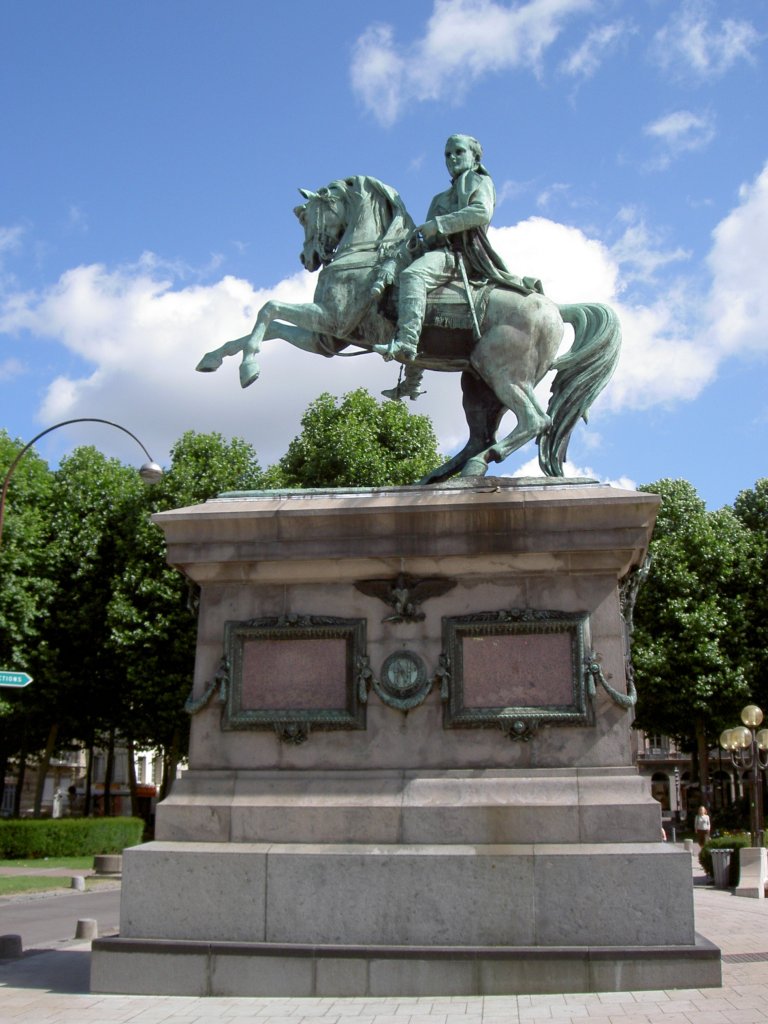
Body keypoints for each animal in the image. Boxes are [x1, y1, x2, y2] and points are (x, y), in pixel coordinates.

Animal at [195, 175, 622, 479]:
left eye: (305, 213)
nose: (309, 257)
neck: (365, 256)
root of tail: (555, 307)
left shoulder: (330, 320)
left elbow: (268, 309)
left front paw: (248, 369)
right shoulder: (326, 339)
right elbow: (264, 326)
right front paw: (213, 359)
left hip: (502, 373)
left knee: (536, 421)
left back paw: (480, 464)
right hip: (477, 385)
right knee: (481, 435)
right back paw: (443, 474)